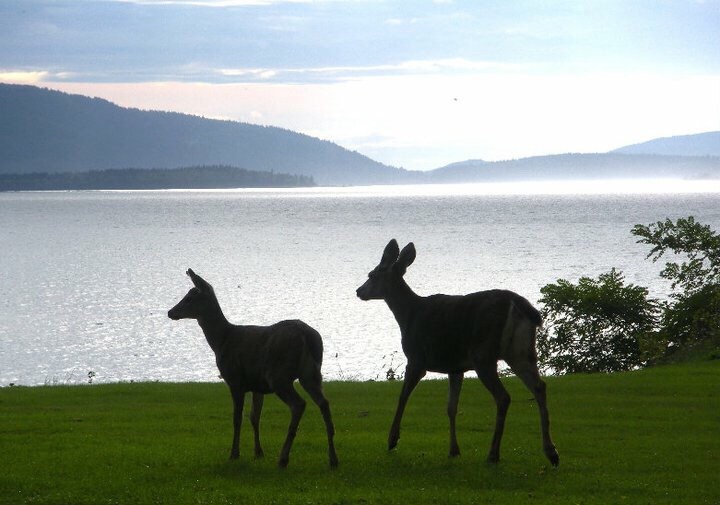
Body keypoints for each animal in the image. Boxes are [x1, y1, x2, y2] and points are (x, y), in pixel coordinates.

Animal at [169, 268, 340, 468]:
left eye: (189, 298)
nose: (170, 312)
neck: (221, 340)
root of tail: (306, 335)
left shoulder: (235, 379)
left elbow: (237, 418)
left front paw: (234, 454)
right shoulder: (257, 385)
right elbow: (254, 417)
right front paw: (258, 452)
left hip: (278, 375)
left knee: (299, 404)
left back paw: (283, 458)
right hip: (311, 373)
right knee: (324, 403)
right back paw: (333, 458)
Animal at [358, 238, 560, 466]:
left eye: (371, 275)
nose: (358, 291)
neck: (408, 314)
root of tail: (519, 305)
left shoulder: (416, 358)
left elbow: (402, 397)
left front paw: (392, 440)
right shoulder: (455, 367)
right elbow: (451, 407)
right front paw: (454, 449)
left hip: (483, 353)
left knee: (504, 396)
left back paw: (493, 454)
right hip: (521, 351)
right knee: (539, 387)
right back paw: (551, 452)